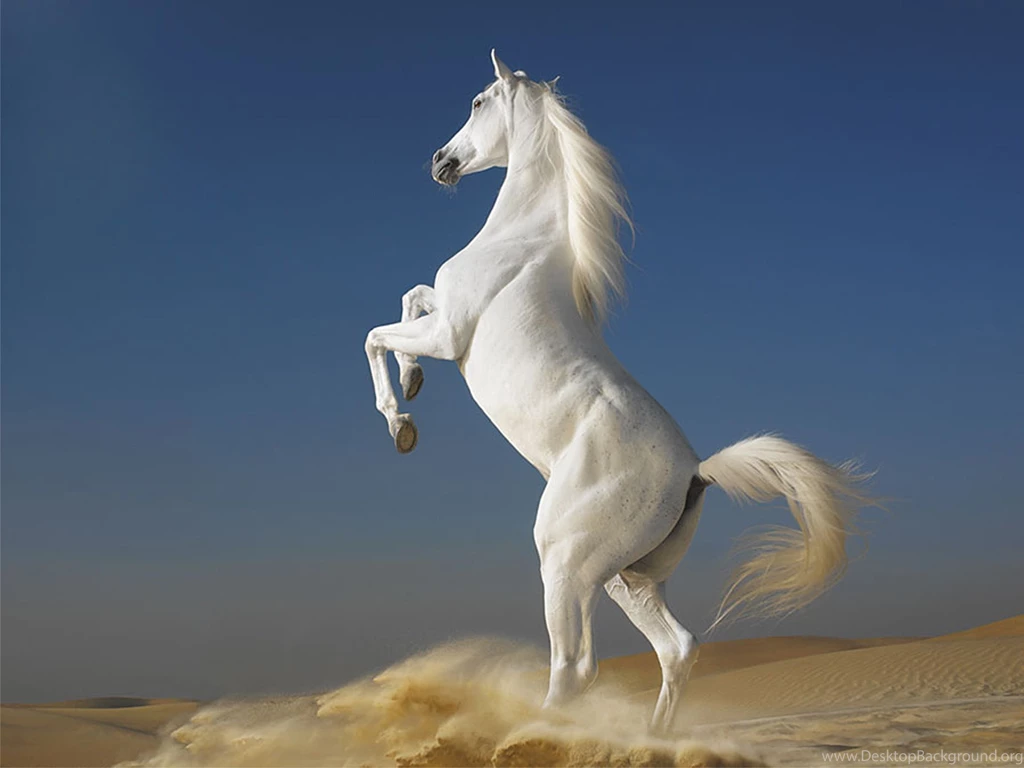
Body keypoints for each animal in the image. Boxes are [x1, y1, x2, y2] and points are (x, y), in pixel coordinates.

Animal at [363, 50, 872, 732]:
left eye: (476, 101)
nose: (441, 161)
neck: (521, 240)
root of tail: (696, 472)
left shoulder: (449, 334)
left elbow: (377, 333)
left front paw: (402, 423)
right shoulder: (440, 316)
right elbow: (411, 296)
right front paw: (414, 383)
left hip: (564, 561)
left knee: (577, 668)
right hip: (623, 577)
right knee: (676, 648)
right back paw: (651, 739)